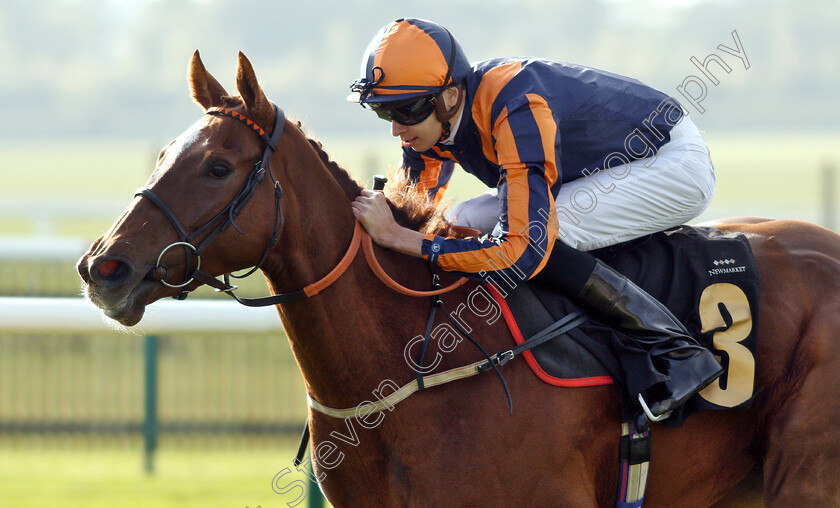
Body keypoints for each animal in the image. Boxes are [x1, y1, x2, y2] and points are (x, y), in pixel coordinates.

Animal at [79, 52, 840, 508]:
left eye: (216, 167)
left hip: (805, 478)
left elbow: (533, 241)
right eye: (163, 154)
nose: (102, 267)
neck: (407, 365)